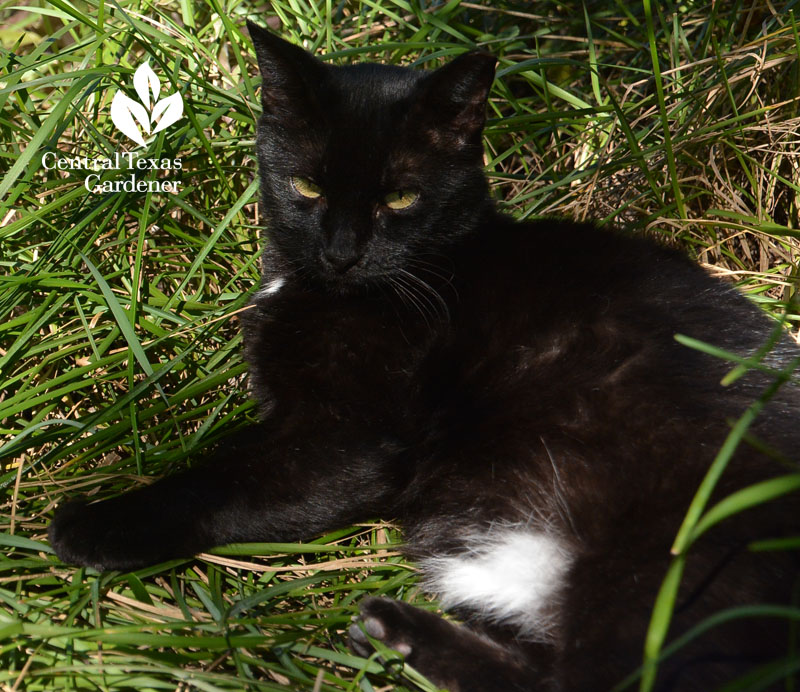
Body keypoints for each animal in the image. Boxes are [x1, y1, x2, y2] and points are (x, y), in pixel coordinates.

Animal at [51, 21, 800, 692]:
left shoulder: (347, 439)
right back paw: (396, 633)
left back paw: (396, 628)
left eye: (400, 197)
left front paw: (92, 524)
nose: (342, 251)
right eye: (308, 187)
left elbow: (223, 477)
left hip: (665, 555)